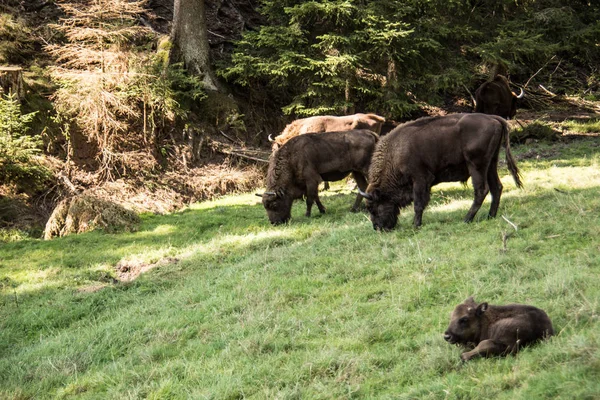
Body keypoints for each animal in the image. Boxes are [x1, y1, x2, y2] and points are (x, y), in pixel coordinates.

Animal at [358, 112, 524, 231]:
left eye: (372, 207)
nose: (377, 228)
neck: (395, 153)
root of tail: (493, 118)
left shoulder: (419, 179)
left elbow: (418, 203)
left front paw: (415, 225)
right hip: (491, 164)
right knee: (497, 187)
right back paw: (490, 216)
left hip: (476, 165)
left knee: (481, 190)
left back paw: (466, 219)